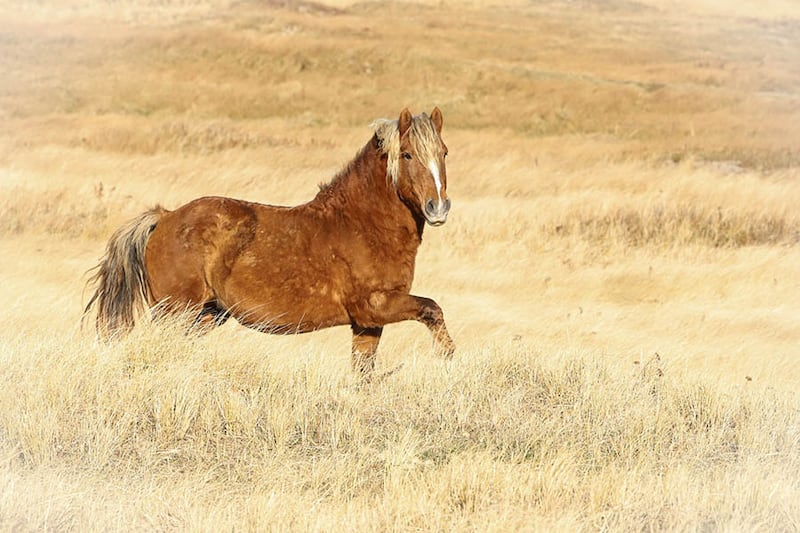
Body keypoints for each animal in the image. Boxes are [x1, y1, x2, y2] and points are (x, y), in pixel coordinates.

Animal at [84, 107, 455, 378]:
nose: (438, 207)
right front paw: (446, 359)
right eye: (406, 155)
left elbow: (363, 373)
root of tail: (165, 217)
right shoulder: (375, 306)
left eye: (444, 152)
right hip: (176, 313)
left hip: (205, 315)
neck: (360, 223)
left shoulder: (367, 324)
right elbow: (432, 309)